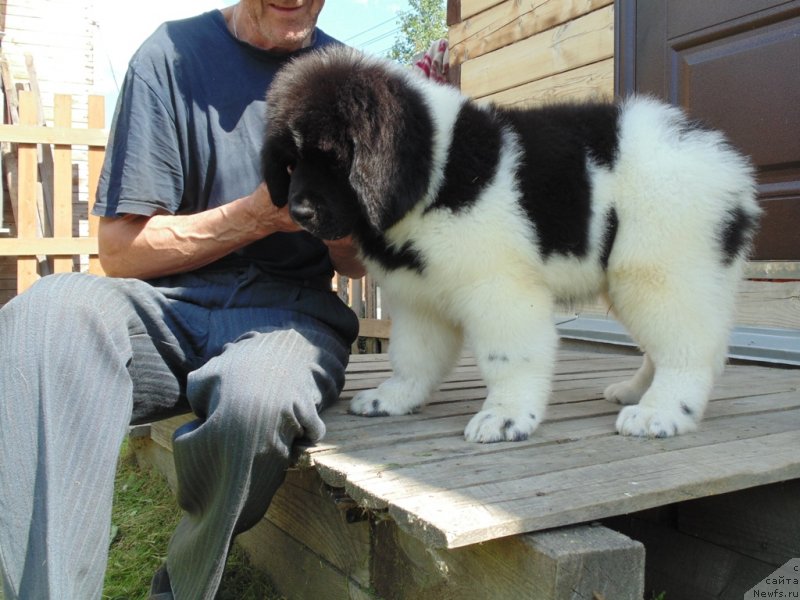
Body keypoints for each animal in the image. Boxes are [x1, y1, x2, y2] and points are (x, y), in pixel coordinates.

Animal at [264, 45, 764, 440]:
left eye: (335, 158)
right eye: (290, 163)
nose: (299, 212)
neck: (435, 170)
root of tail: (729, 165)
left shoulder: (499, 287)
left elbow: (509, 356)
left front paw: (506, 417)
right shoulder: (420, 296)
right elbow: (412, 355)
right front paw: (395, 399)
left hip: (660, 268)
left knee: (690, 349)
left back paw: (661, 412)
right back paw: (636, 392)